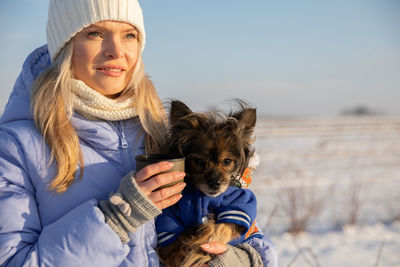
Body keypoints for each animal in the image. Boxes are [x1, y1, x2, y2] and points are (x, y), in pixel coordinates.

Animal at [155, 101, 260, 267]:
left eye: (227, 161)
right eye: (198, 161)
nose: (215, 183)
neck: (205, 197)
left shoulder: (239, 206)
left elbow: (222, 226)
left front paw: (205, 235)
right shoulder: (168, 224)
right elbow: (171, 247)